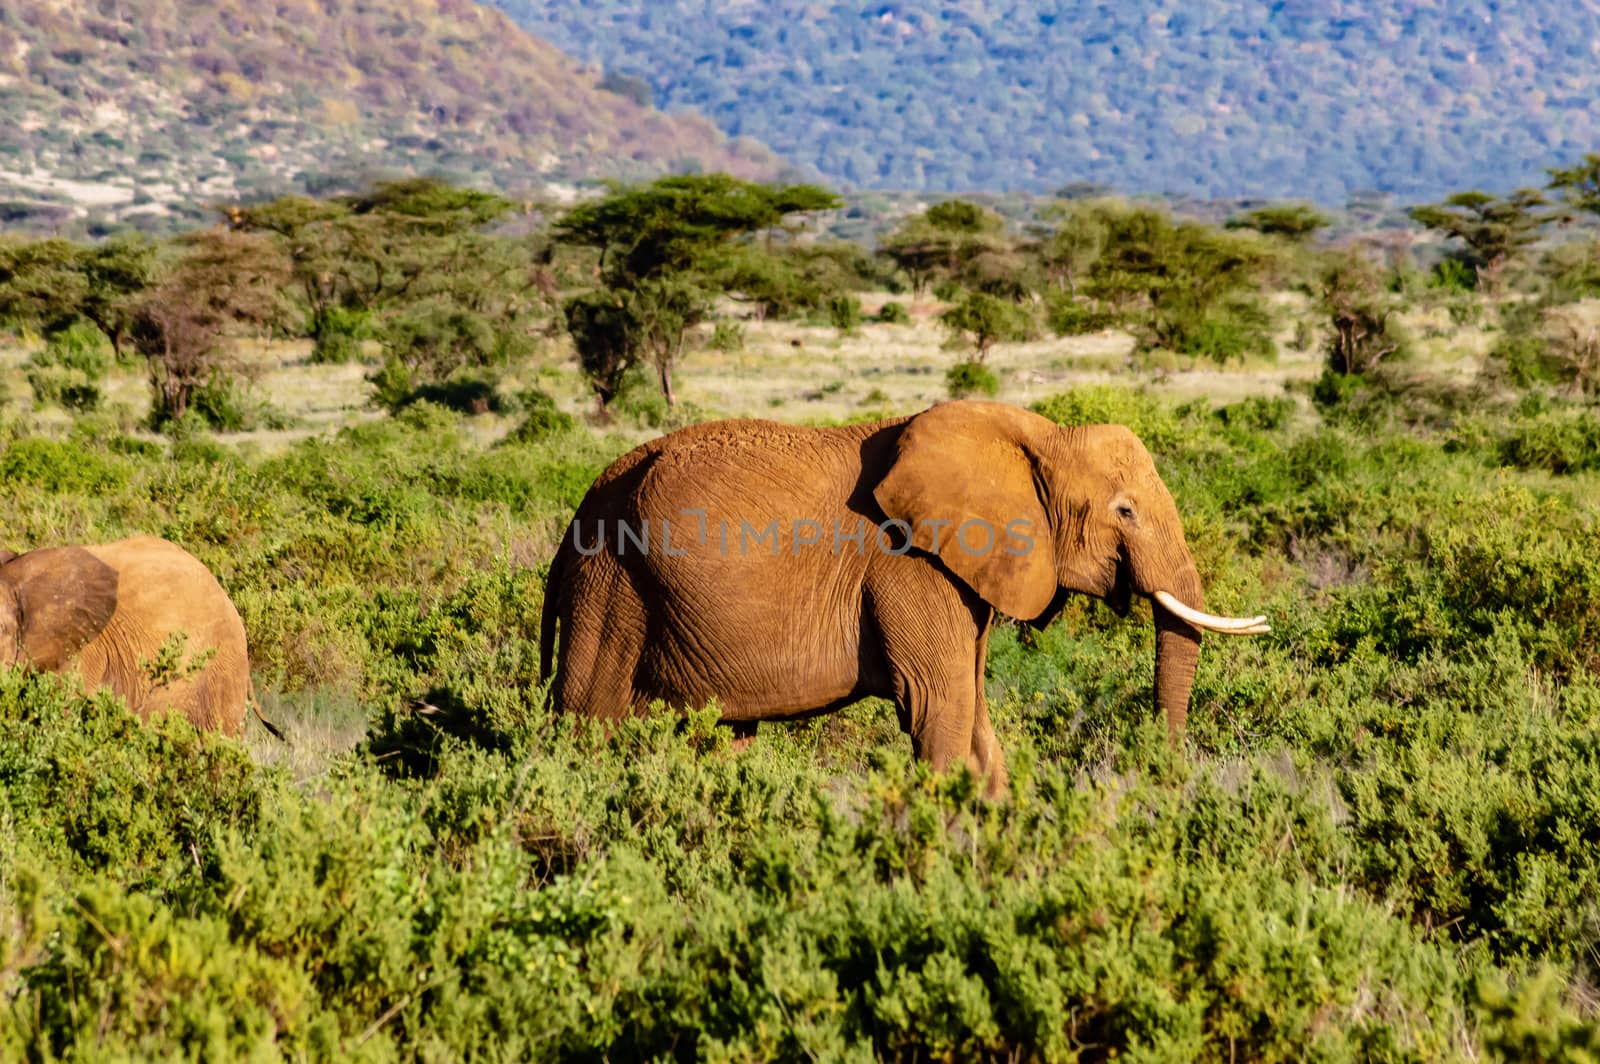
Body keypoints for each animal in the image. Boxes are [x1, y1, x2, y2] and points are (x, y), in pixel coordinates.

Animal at [544, 403, 1267, 793]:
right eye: (1124, 510)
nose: (1161, 778)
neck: (1037, 436)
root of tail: (582, 507)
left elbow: (975, 714)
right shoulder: (909, 566)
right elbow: (938, 704)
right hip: (609, 589)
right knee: (588, 725)